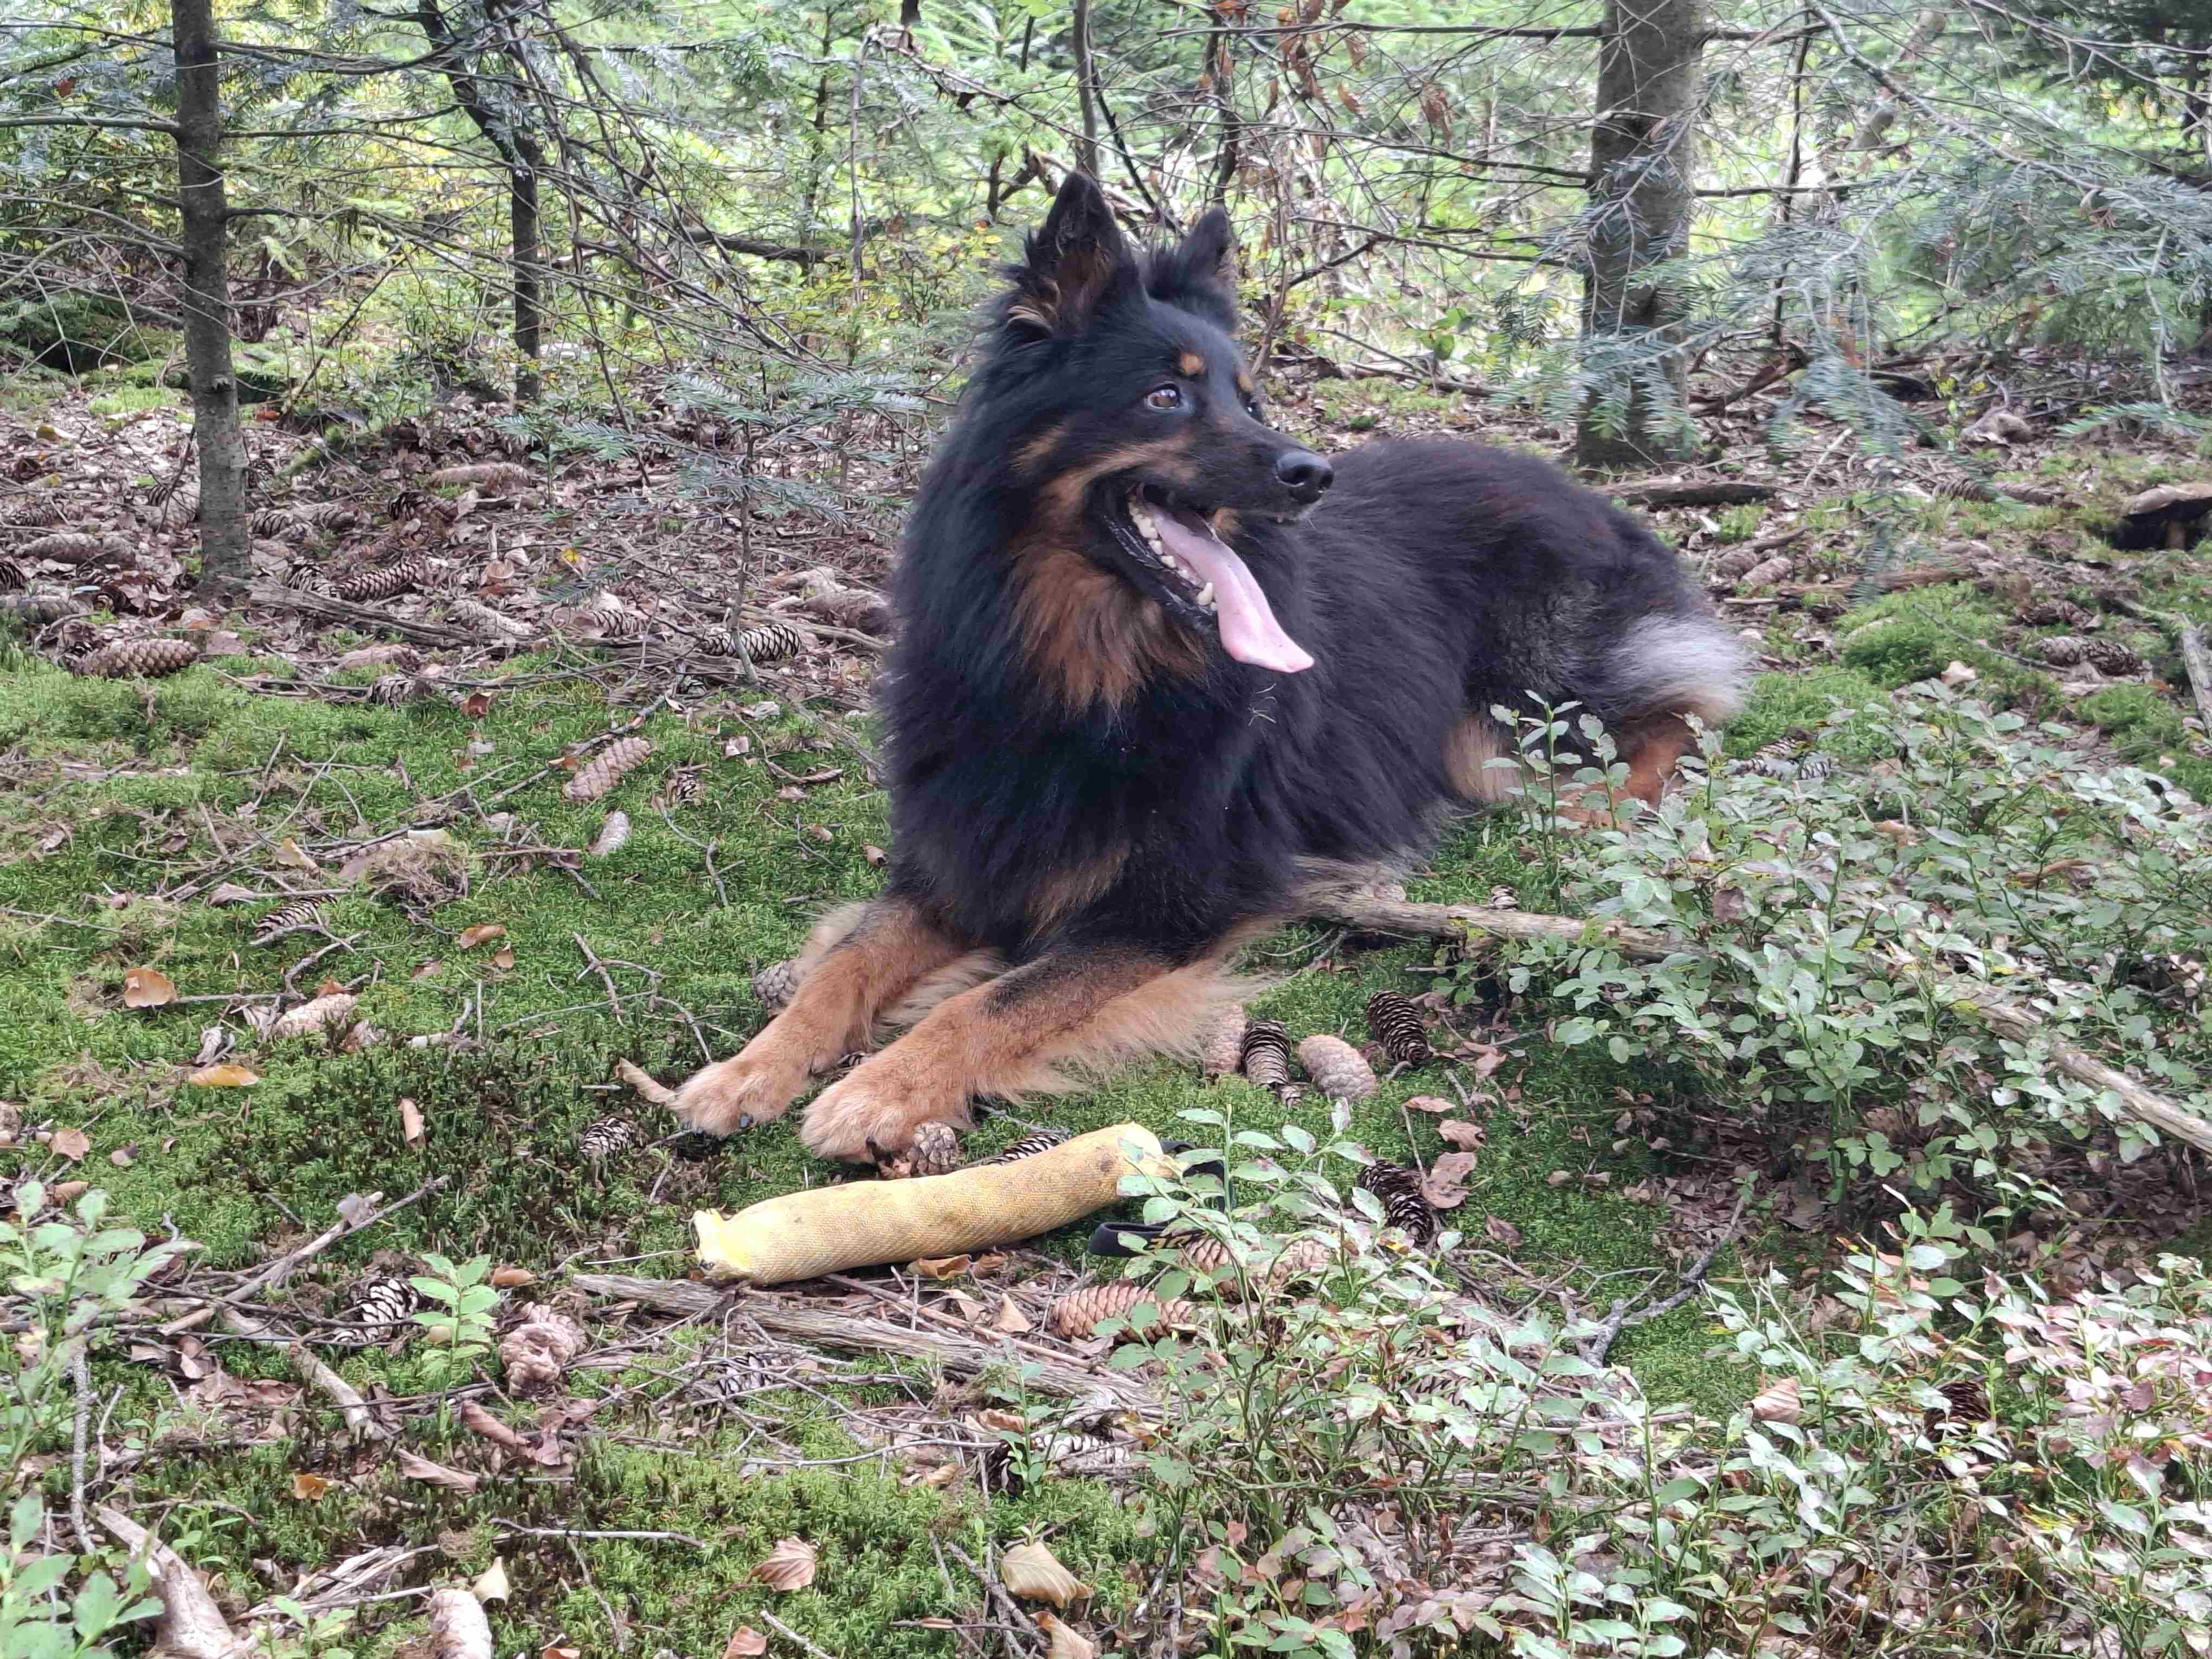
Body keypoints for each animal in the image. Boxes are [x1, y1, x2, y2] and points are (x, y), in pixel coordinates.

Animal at [673, 171, 1748, 1162]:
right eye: (1166, 396)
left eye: (1249, 399)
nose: (1314, 475)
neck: (1079, 674)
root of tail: (1594, 498)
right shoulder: (957, 862)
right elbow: (845, 967)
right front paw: (750, 1069)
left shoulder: (1169, 906)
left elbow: (996, 1000)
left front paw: (883, 1090)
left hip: (1502, 721)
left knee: (1681, 716)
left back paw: (1602, 817)